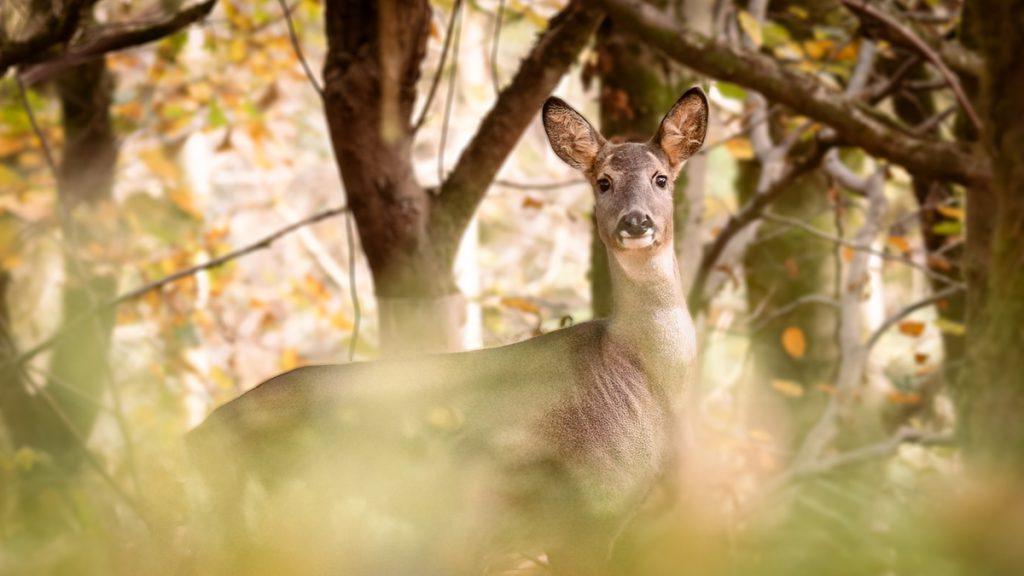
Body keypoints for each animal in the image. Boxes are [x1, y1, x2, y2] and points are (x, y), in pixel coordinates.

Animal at [187, 87, 708, 576]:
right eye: (603, 182)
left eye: (662, 179)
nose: (636, 221)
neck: (636, 374)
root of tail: (197, 437)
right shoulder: (584, 513)